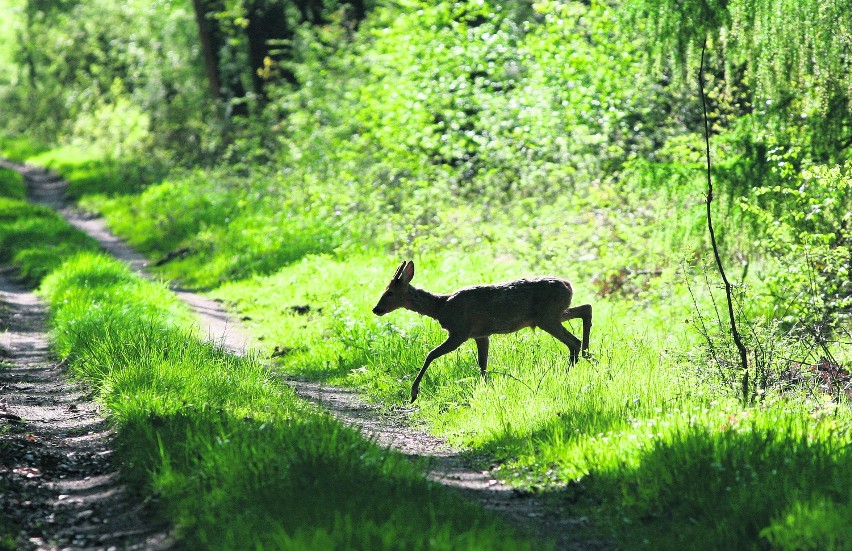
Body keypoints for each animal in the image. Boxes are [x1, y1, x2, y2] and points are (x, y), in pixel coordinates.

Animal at [372, 260, 592, 404]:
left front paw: (414, 393)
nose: (376, 309)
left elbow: (431, 354)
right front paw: (486, 388)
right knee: (586, 309)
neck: (441, 307)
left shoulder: (459, 332)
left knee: (574, 340)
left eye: (389, 292)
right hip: (554, 314)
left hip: (547, 317)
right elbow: (483, 364)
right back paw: (587, 357)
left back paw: (568, 371)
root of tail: (569, 286)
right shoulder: (481, 335)